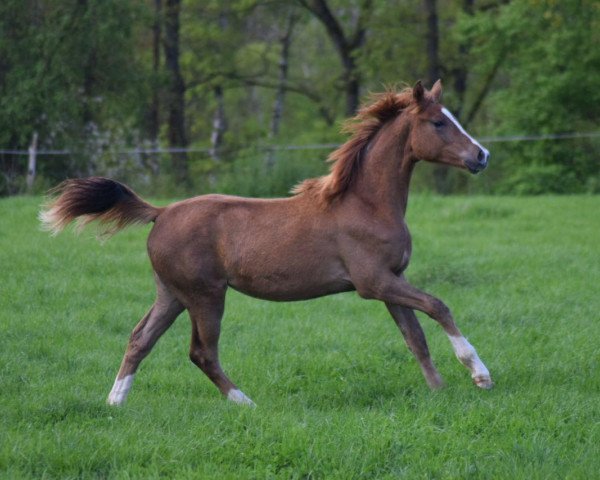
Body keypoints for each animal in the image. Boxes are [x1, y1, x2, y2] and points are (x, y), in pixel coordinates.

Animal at [41, 80, 492, 406]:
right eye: (438, 123)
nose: (482, 156)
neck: (366, 203)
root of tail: (161, 212)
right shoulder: (374, 282)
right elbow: (438, 306)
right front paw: (479, 374)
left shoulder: (391, 279)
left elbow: (415, 337)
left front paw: (439, 391)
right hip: (205, 295)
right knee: (201, 351)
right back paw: (245, 402)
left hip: (171, 293)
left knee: (140, 339)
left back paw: (115, 402)